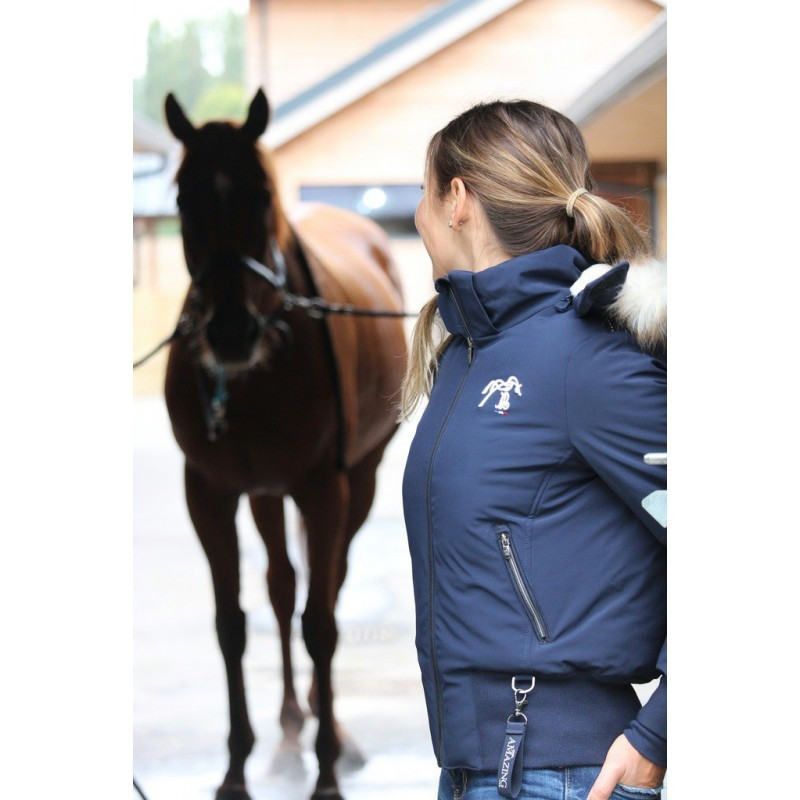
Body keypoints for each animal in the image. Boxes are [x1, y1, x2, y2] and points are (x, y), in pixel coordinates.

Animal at [161, 88, 407, 800]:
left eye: (261, 195)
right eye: (183, 198)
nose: (230, 332)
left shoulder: (323, 487)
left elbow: (320, 624)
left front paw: (327, 769)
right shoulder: (209, 493)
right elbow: (231, 626)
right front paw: (234, 769)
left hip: (360, 480)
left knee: (325, 589)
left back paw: (330, 734)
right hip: (265, 492)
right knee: (280, 588)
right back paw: (290, 735)